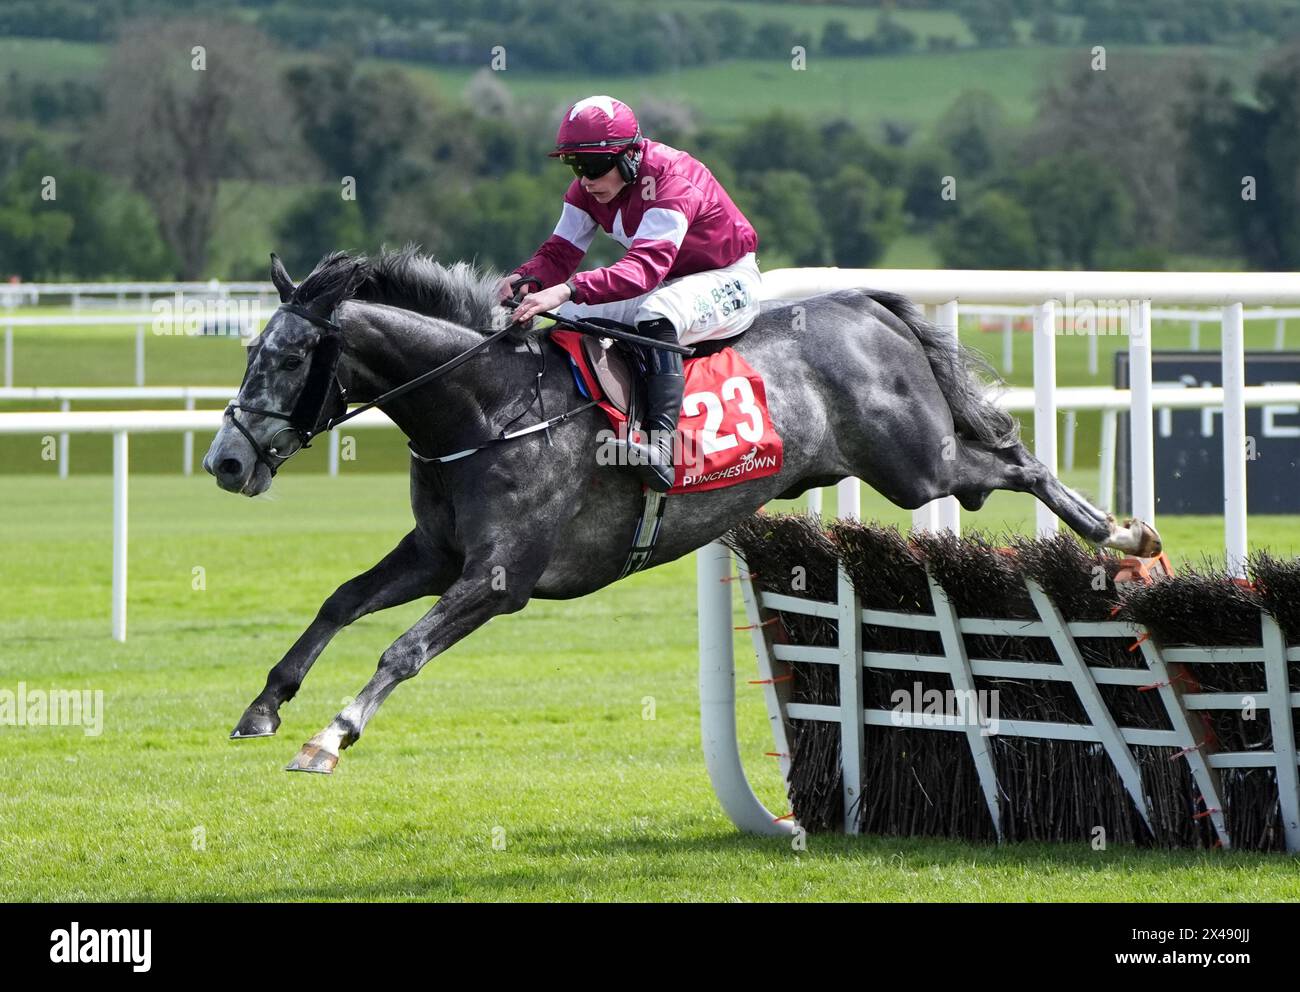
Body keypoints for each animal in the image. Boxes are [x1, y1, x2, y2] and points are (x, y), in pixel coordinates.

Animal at [202, 249, 1159, 774]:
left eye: (288, 358)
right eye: (248, 350)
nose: (225, 462)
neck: (486, 405)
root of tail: (865, 304)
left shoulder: (500, 578)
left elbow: (400, 649)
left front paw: (331, 736)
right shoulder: (436, 553)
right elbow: (340, 602)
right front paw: (265, 706)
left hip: (918, 465)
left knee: (1013, 462)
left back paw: (1123, 537)